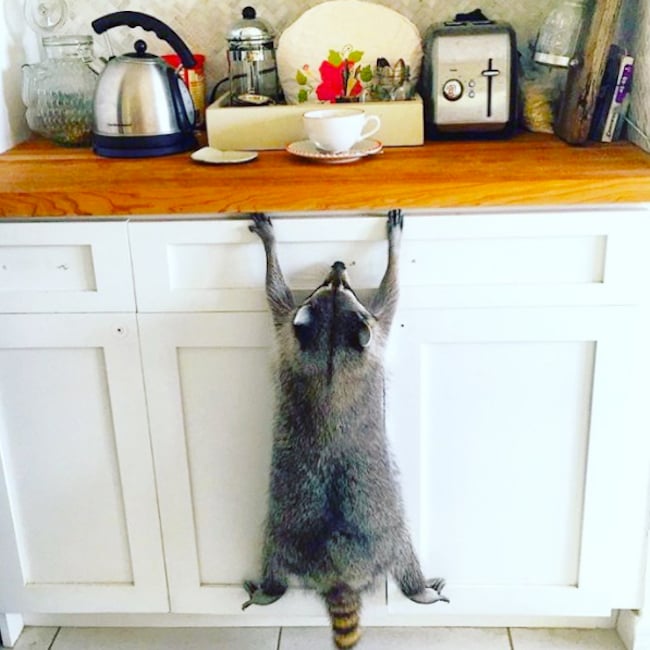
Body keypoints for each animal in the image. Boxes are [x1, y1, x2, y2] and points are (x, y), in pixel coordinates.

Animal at [242, 210, 448, 648]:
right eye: (332, 285)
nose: (338, 265)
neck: (331, 339)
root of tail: (338, 574)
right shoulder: (309, 326)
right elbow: (389, 293)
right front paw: (394, 250)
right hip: (387, 535)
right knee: (405, 557)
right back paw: (417, 589)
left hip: (284, 538)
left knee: (274, 564)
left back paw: (270, 589)